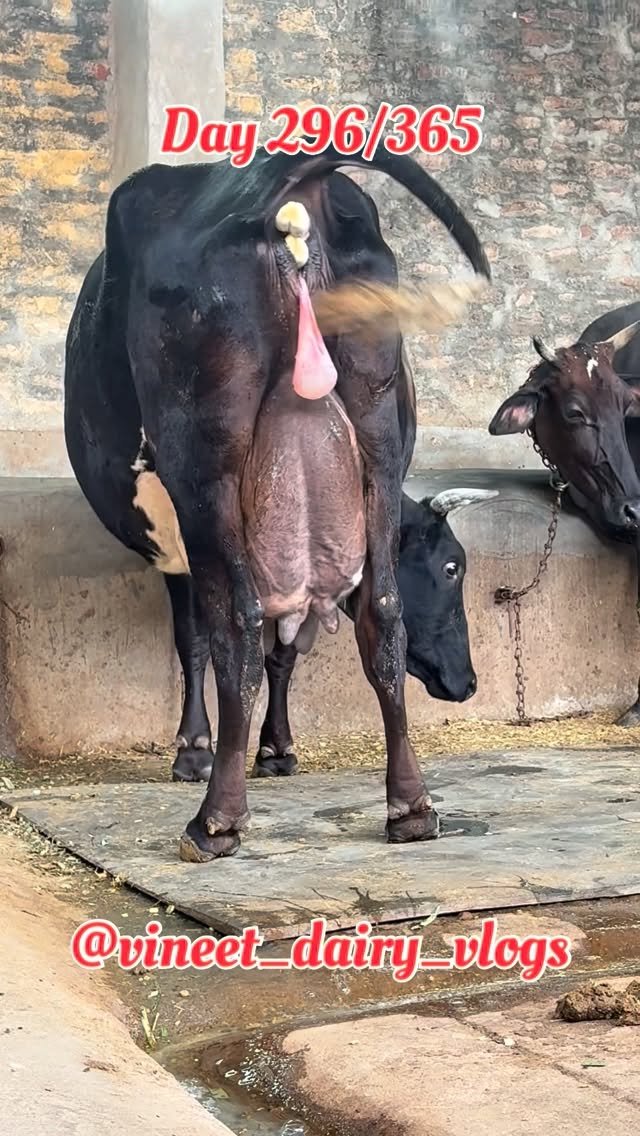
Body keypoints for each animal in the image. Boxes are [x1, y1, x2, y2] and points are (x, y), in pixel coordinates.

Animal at [64, 143, 490, 862]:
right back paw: (410, 806)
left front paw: (199, 751)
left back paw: (216, 820)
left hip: (206, 463)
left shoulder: (179, 534)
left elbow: (203, 637)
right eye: (454, 567)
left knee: (236, 625)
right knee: (381, 615)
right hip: (375, 436)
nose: (468, 683)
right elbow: (279, 644)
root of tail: (288, 177)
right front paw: (272, 748)